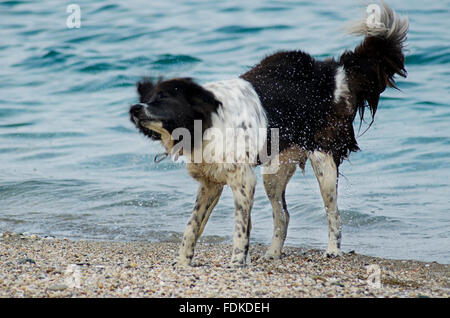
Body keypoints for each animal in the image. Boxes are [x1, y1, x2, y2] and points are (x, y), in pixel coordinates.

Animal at [129, 1, 408, 266]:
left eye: (163, 98)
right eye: (147, 97)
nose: (134, 108)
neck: (205, 122)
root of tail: (332, 70)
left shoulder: (242, 180)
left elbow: (240, 227)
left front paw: (236, 262)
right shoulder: (211, 183)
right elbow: (192, 226)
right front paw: (183, 262)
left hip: (323, 158)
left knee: (333, 213)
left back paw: (333, 250)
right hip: (274, 172)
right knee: (283, 215)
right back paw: (273, 253)